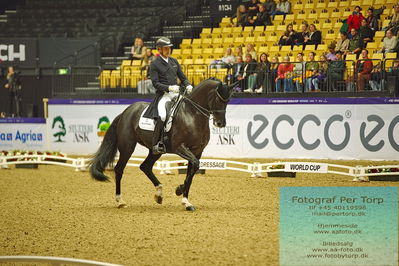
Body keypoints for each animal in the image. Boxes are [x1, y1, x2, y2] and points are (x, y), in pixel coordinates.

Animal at [89, 78, 236, 211]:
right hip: (127, 147)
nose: (220, 123)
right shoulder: (180, 148)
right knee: (119, 169)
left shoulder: (197, 151)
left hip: (155, 151)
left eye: (228, 101)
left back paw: (159, 194)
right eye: (218, 99)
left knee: (145, 167)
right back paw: (120, 201)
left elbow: (192, 170)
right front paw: (179, 190)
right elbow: (193, 166)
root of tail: (126, 112)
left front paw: (186, 201)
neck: (192, 115)